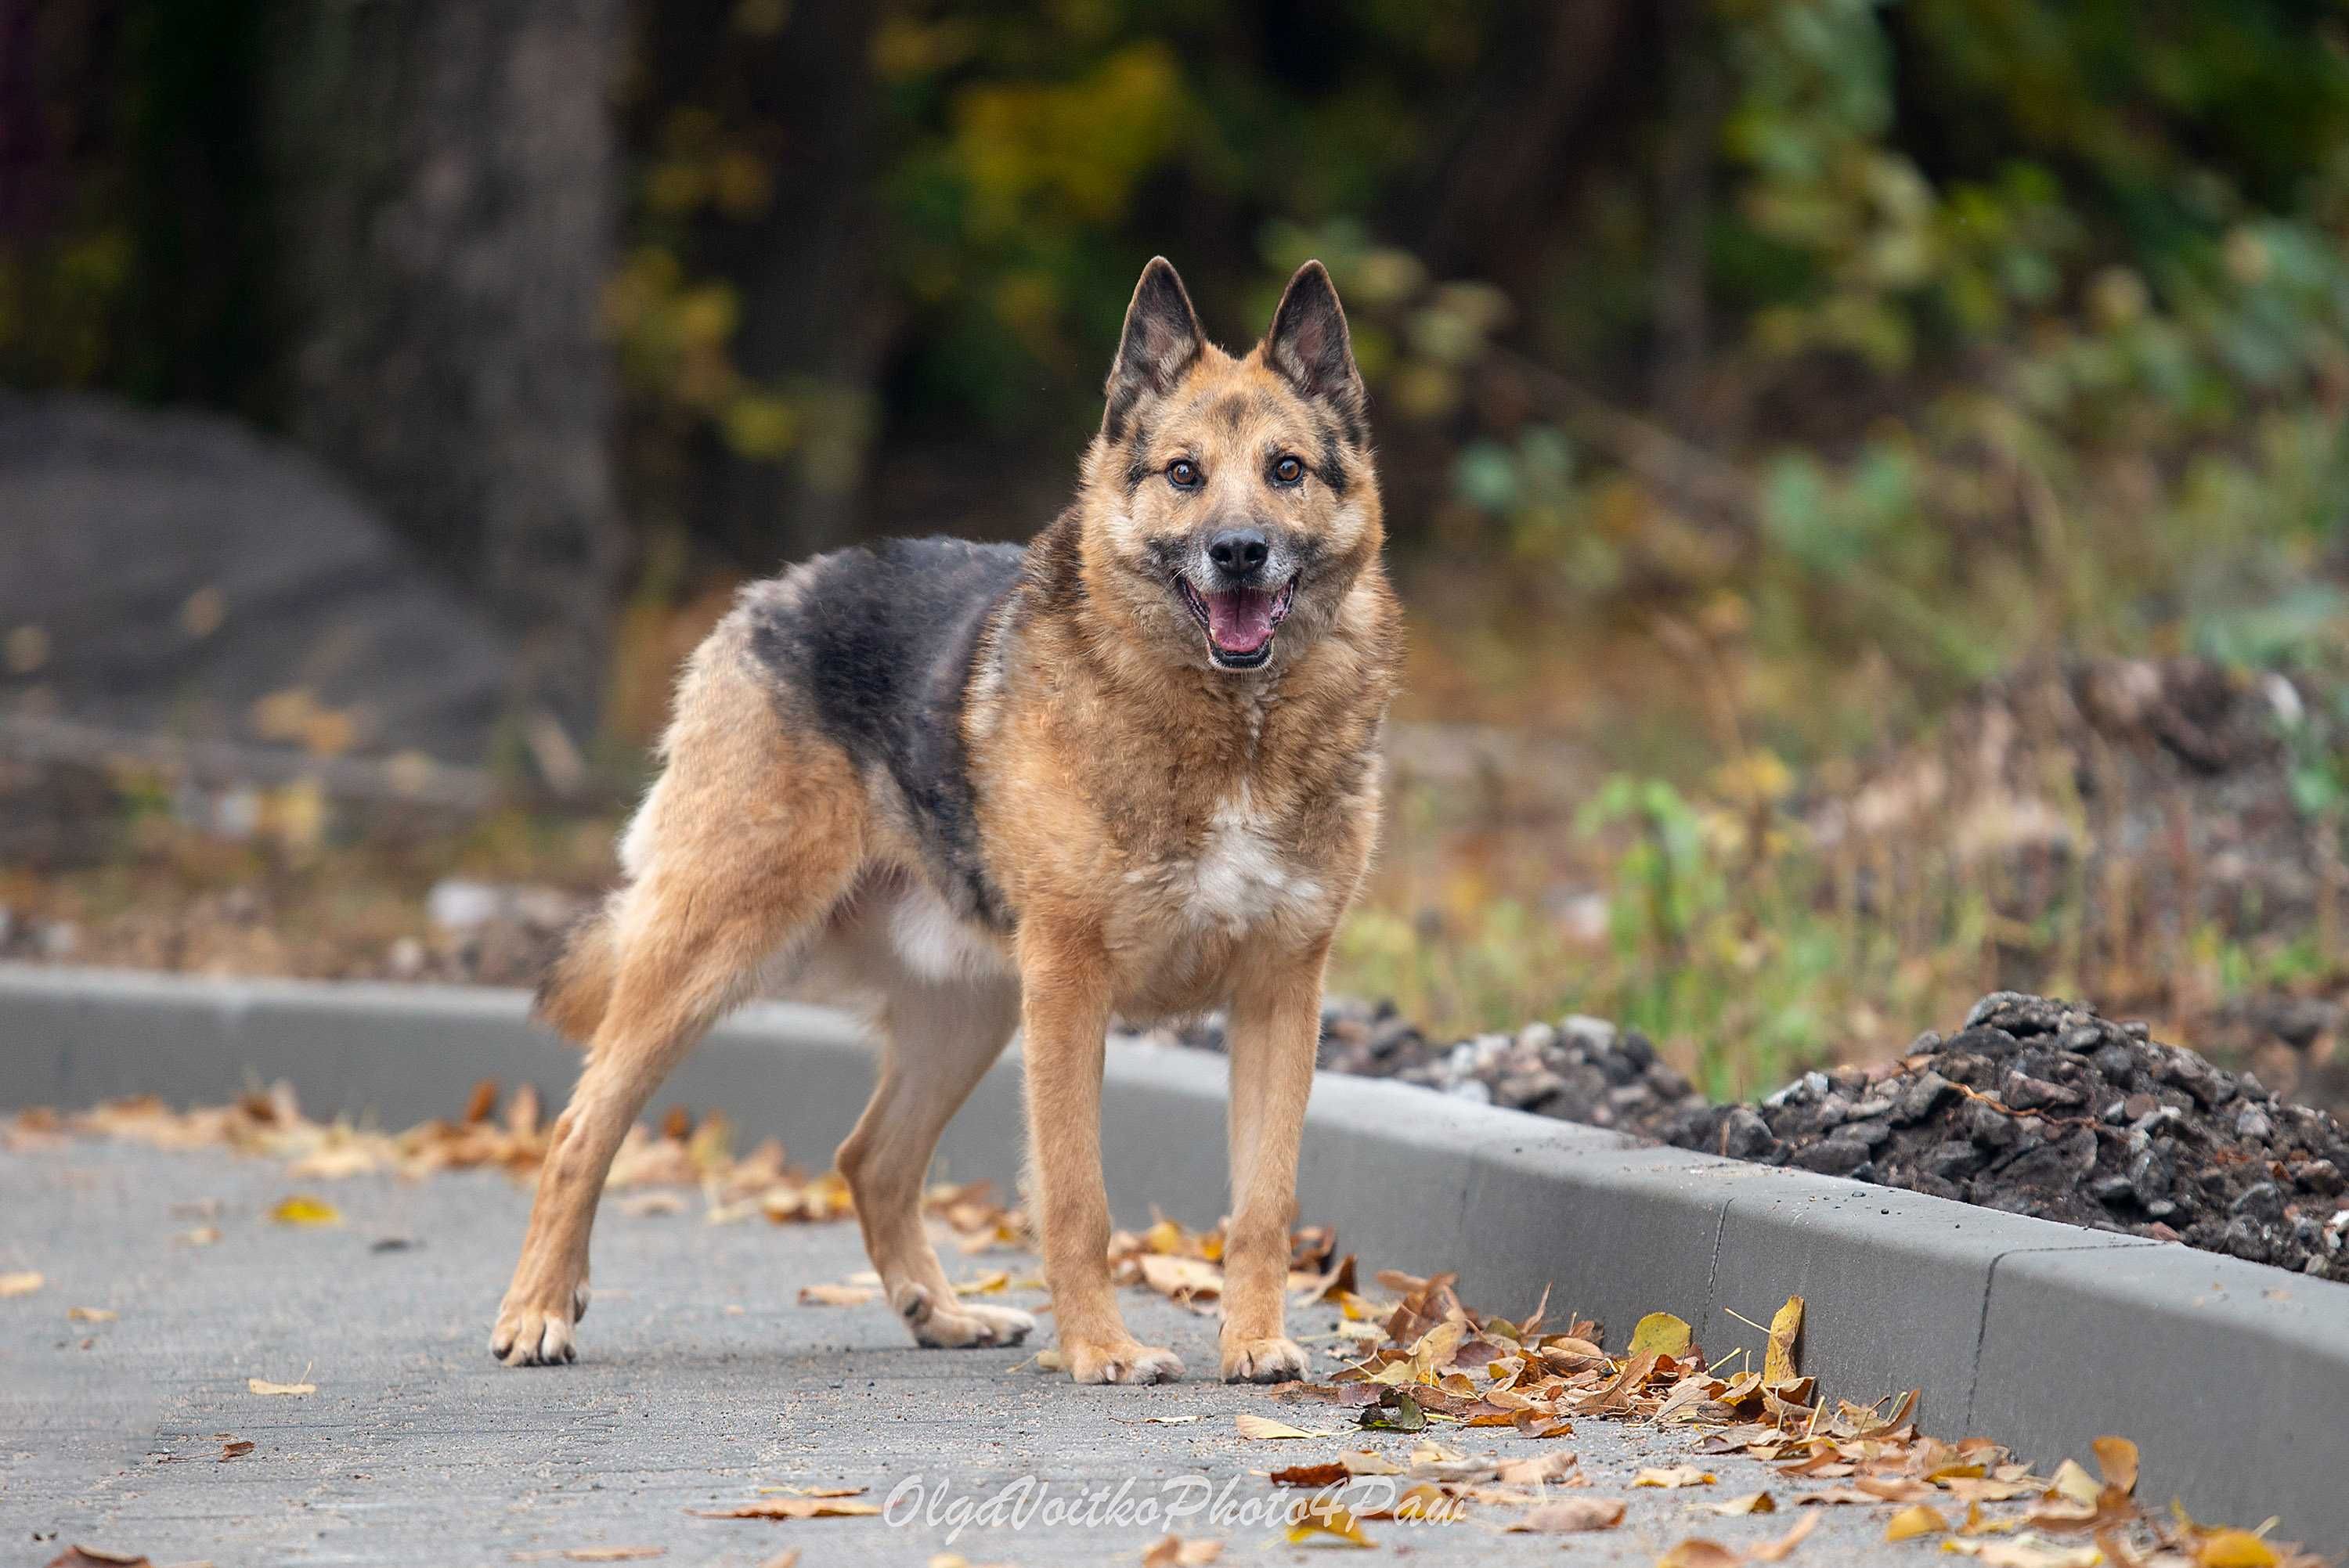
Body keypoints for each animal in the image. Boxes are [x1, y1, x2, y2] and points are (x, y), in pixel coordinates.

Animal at [491, 257, 1391, 1380]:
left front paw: (1256, 1339)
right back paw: (538, 1308)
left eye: (1286, 469)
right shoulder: (1071, 988)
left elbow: (1264, 1200)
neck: (1233, 730)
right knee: (581, 1129)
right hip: (717, 956)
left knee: (871, 1158)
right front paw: (1101, 1348)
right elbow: (1077, 1196)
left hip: (968, 1012)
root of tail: (770, 592)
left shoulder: (1280, 993)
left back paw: (944, 1311)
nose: (1238, 552)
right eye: (1184, 473)